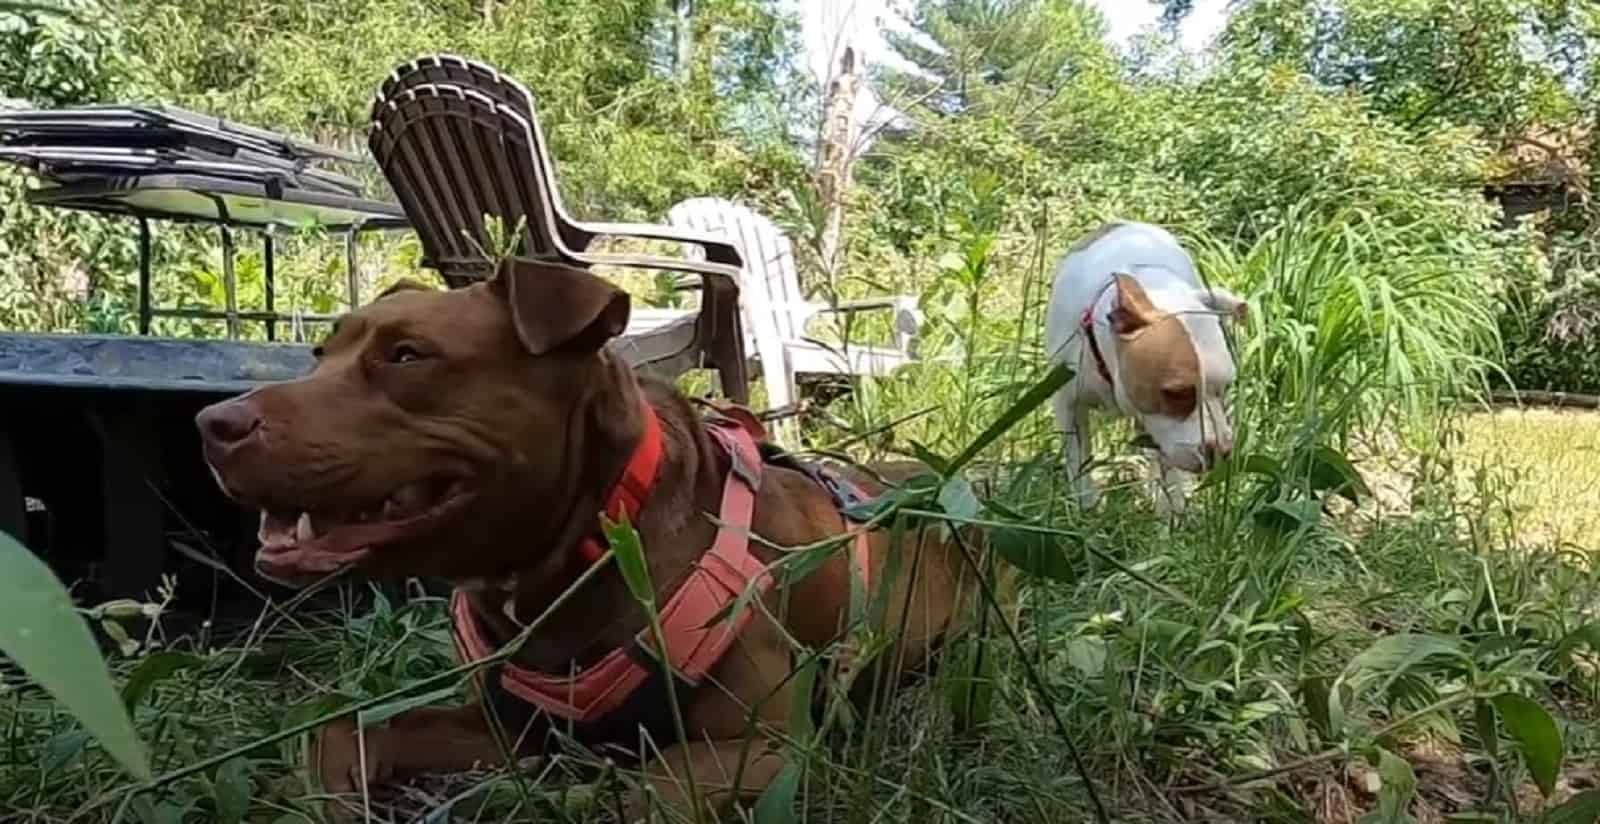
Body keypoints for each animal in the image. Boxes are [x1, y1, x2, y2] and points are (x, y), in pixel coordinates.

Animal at [200, 257, 972, 819]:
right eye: (319, 354)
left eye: (407, 356)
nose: (214, 423)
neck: (587, 543)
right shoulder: (507, 727)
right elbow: (349, 729)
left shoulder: (770, 748)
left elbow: (650, 788)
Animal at [1043, 220, 1254, 515]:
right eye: (1177, 393)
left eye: (1226, 387)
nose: (1222, 452)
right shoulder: (1068, 404)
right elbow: (1079, 460)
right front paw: (1087, 509)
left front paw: (1171, 510)